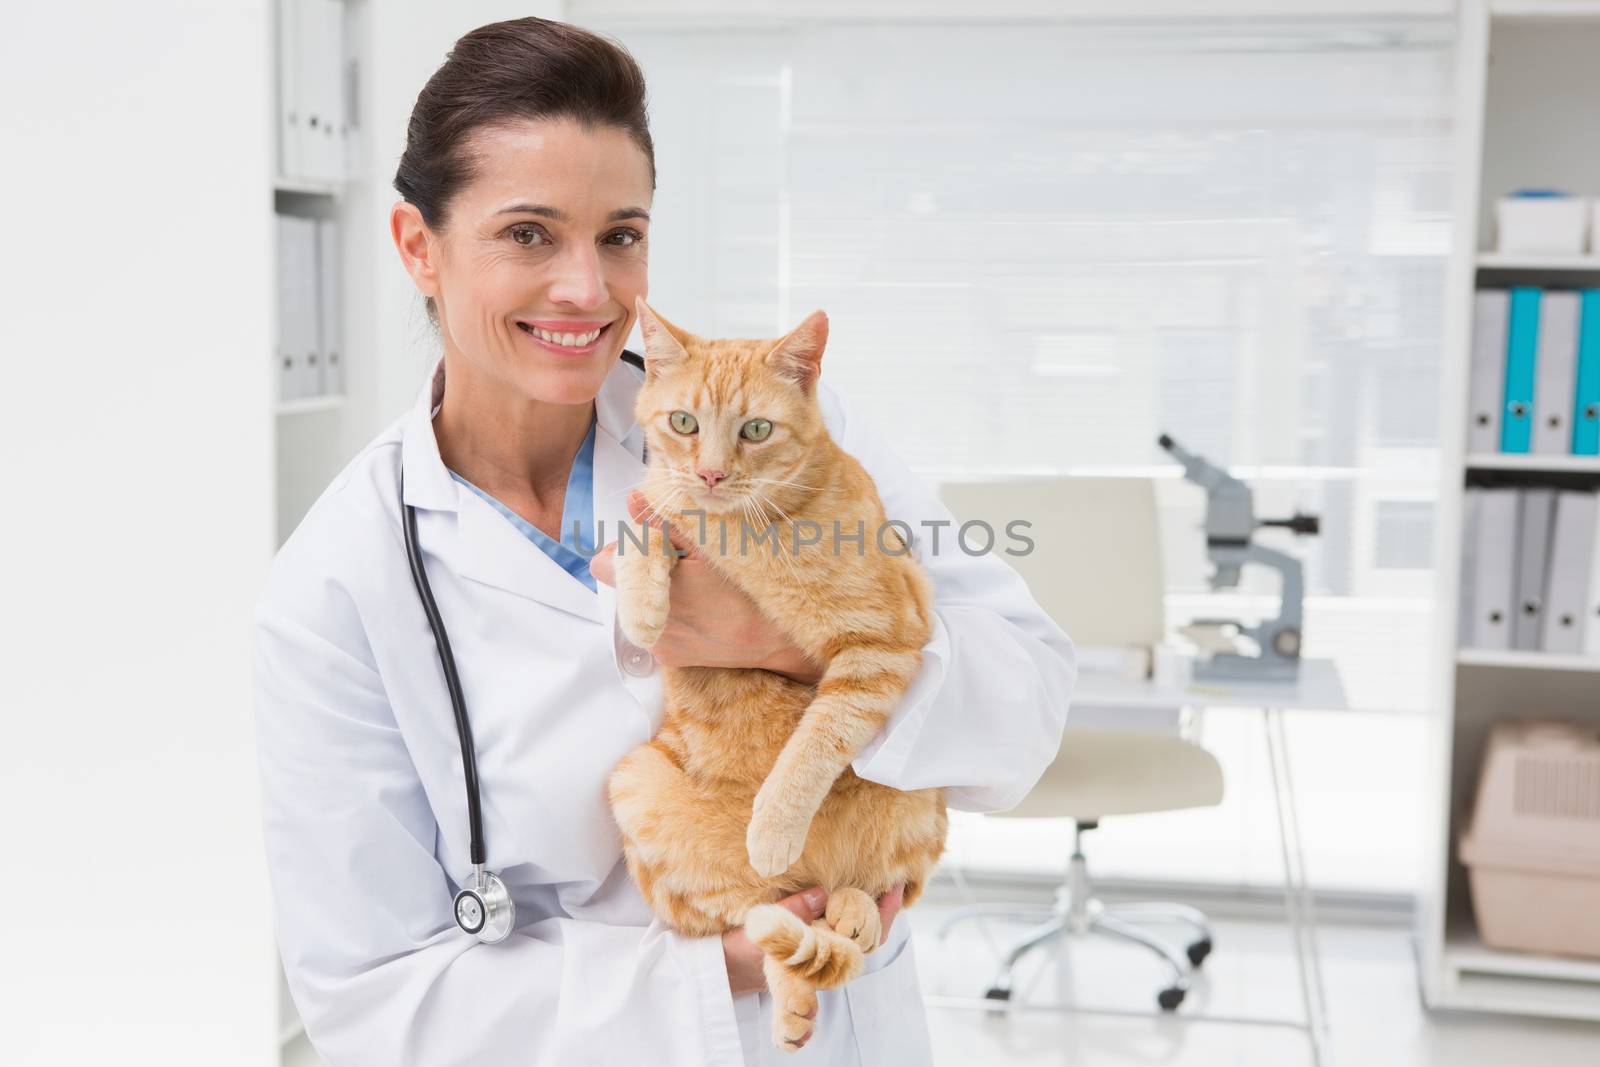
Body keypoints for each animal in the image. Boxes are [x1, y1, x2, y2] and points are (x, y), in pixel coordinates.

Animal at [604, 299, 940, 1049]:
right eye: (684, 423)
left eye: (755, 429)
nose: (710, 475)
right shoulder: (653, 500)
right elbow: (645, 524)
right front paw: (641, 609)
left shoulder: (883, 644)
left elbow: (814, 743)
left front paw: (775, 823)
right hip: (637, 782)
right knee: (760, 914)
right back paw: (798, 984)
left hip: (924, 800)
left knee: (875, 886)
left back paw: (852, 912)